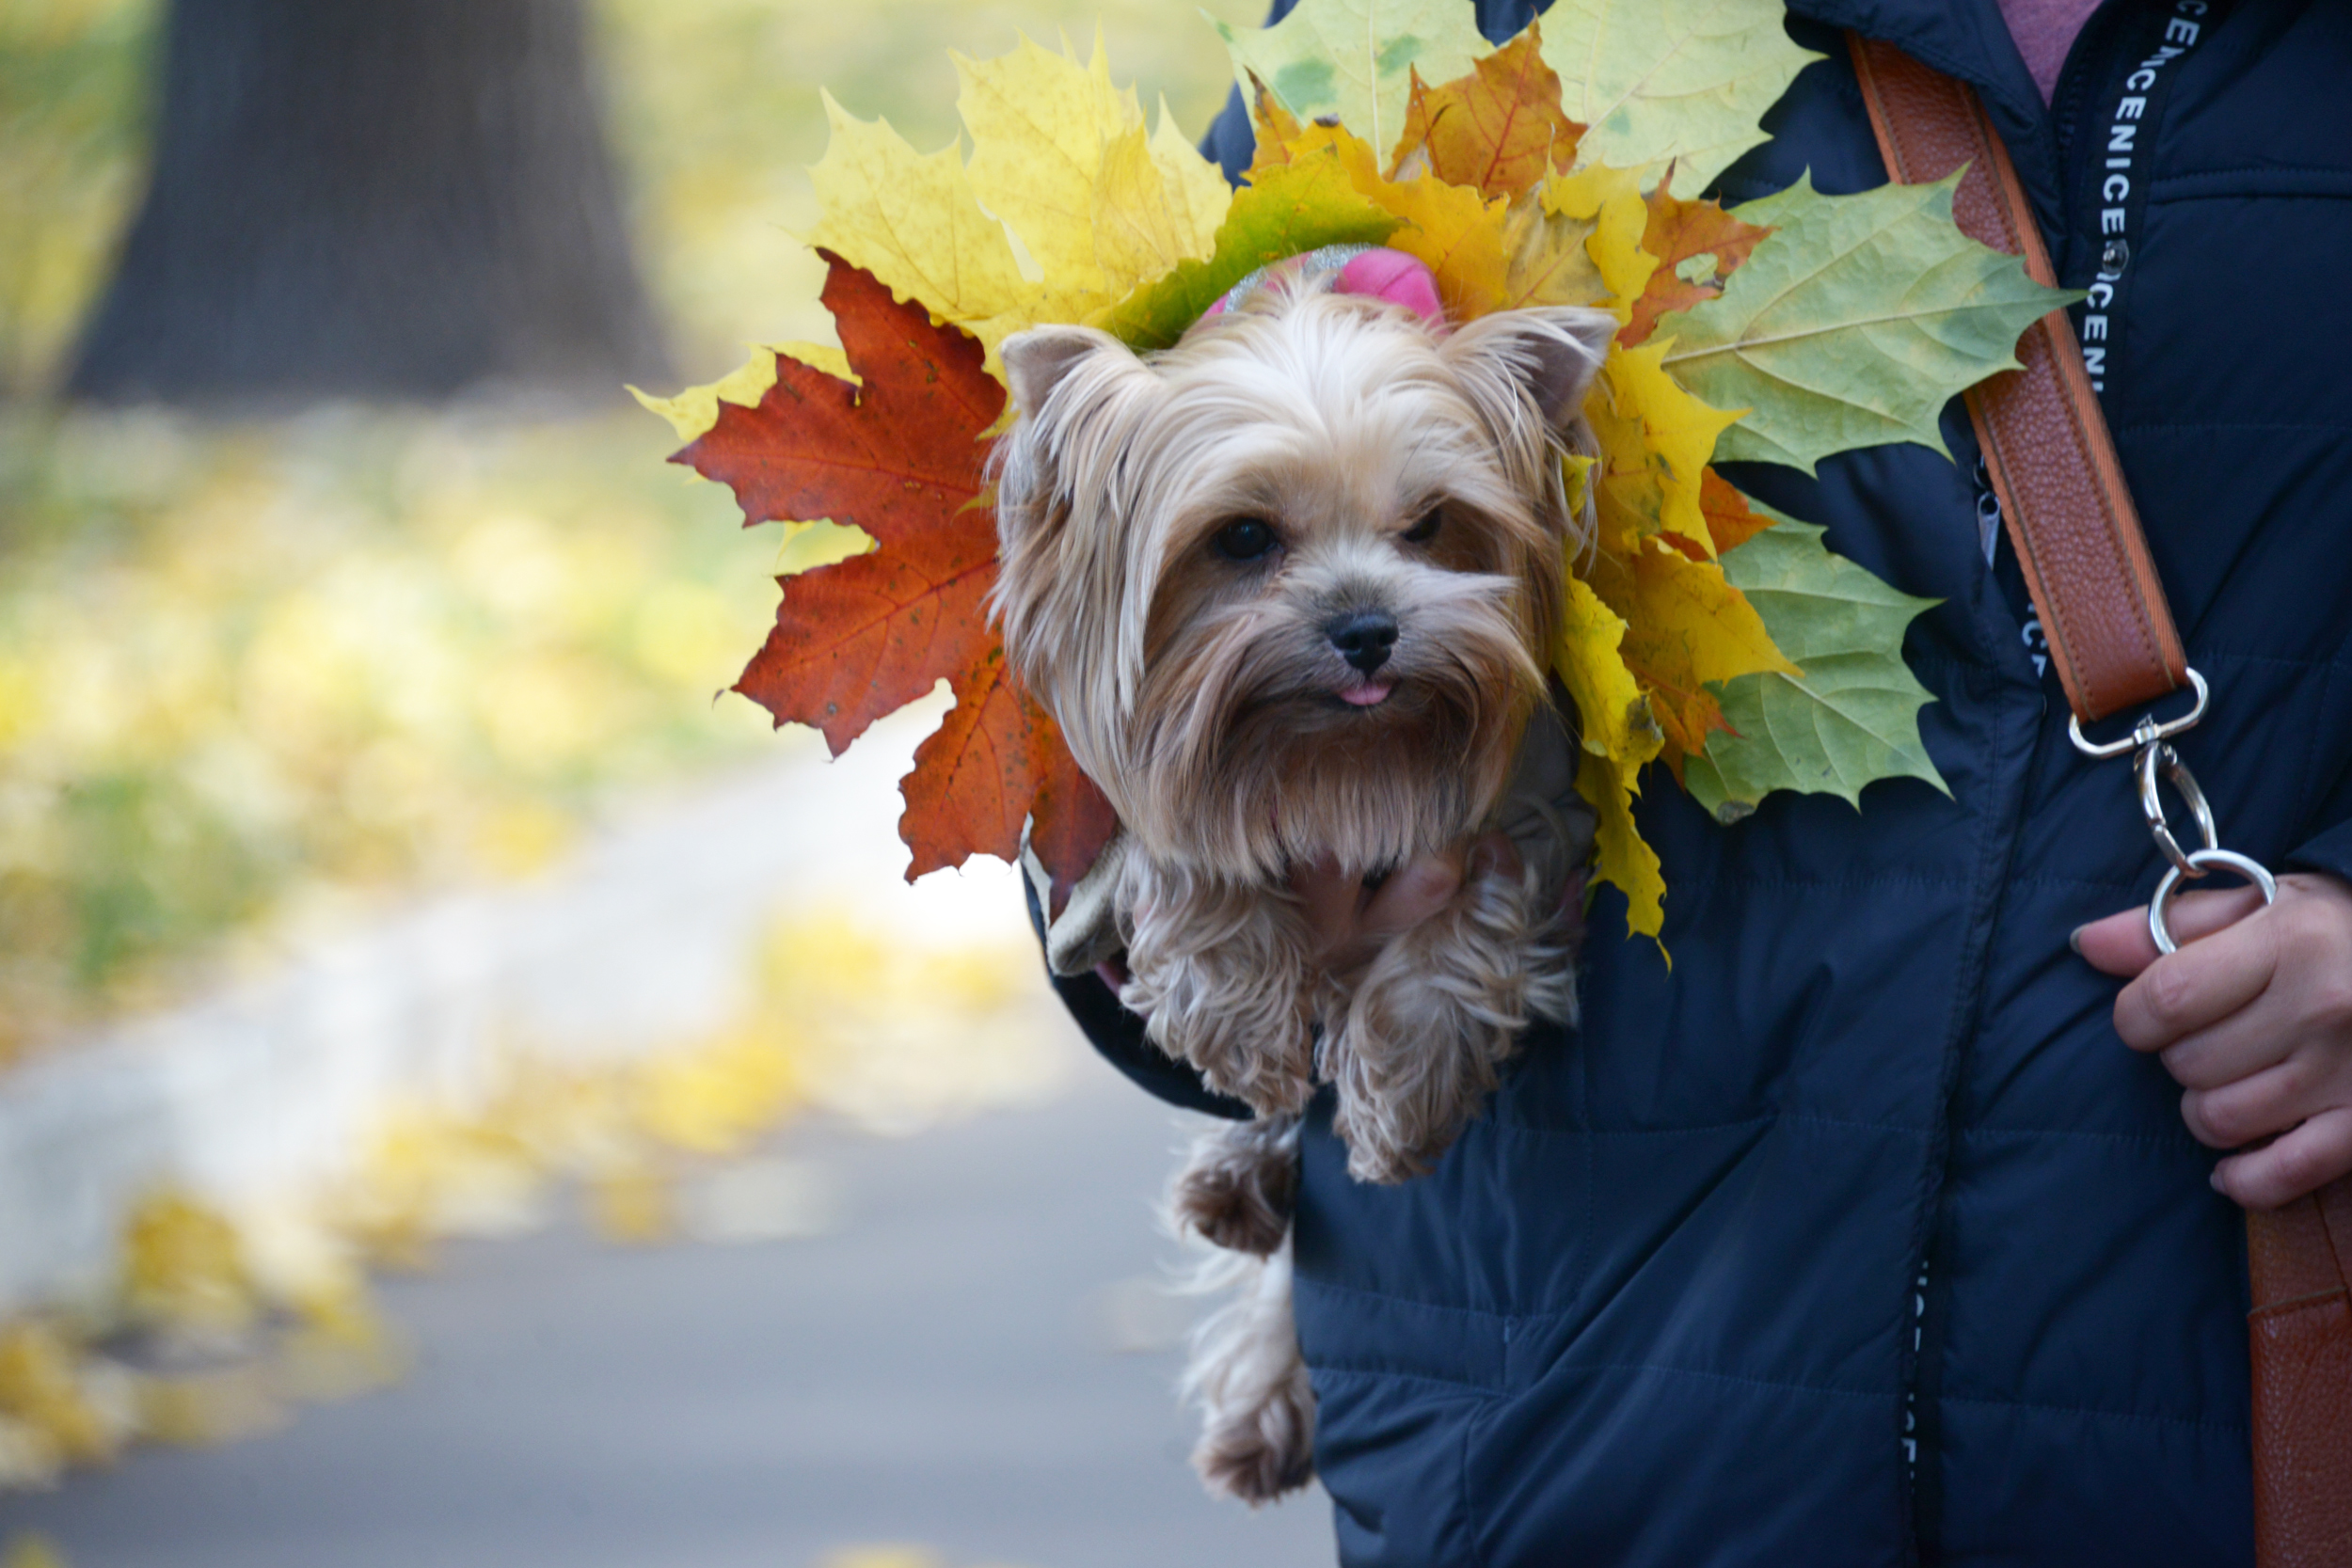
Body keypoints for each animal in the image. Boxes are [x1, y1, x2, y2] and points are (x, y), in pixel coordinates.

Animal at [993, 261, 1618, 1504]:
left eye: (1430, 524)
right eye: (1242, 537)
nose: (1368, 626)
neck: (1338, 765)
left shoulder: (1531, 814)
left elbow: (1454, 944)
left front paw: (1402, 1097)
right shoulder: (1125, 834)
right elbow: (1190, 864)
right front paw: (1242, 1021)